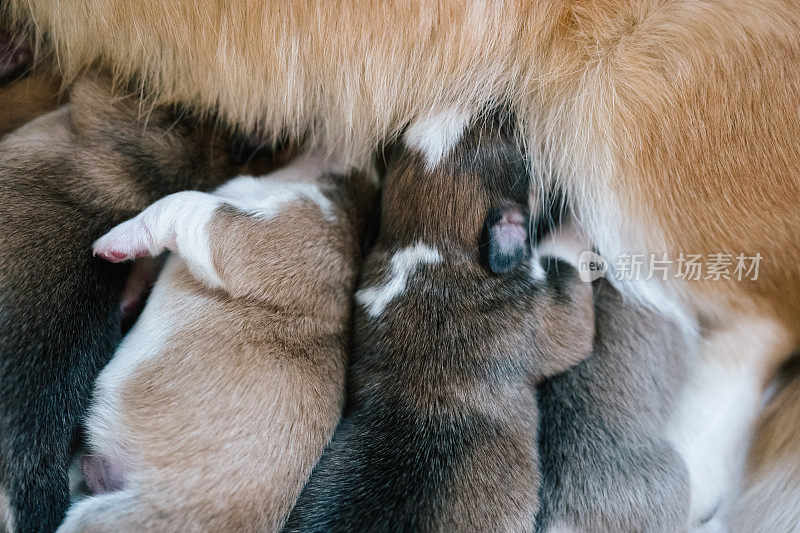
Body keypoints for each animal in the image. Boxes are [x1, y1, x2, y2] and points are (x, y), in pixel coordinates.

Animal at [282, 114, 592, 528]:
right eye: (510, 134)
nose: (506, 107)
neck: (429, 244)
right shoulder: (548, 311)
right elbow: (570, 276)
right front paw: (581, 221)